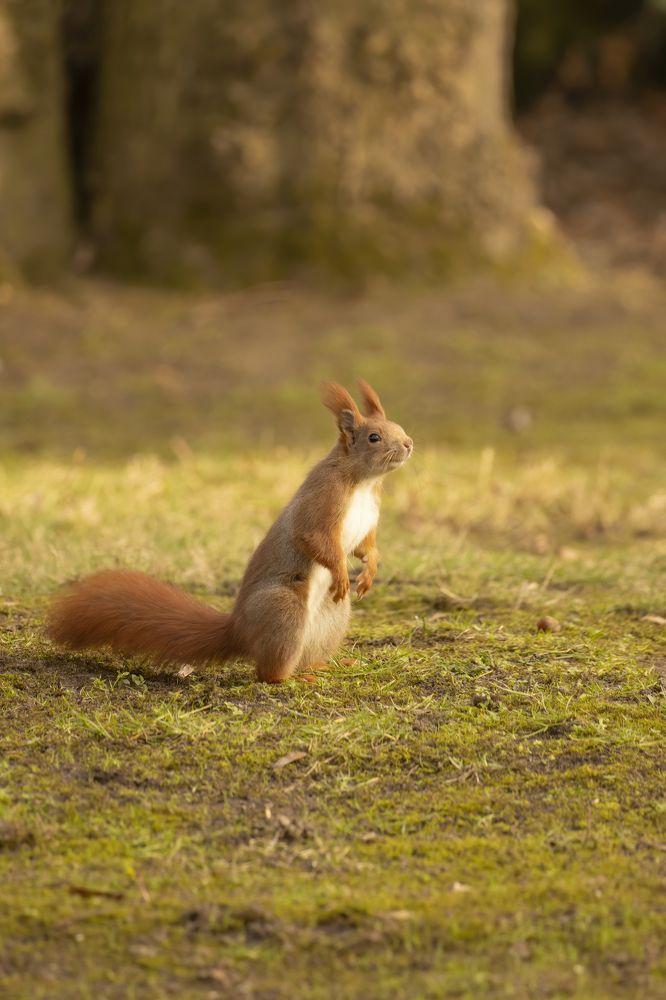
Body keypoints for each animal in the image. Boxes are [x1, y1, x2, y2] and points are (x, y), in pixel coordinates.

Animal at [48, 380, 413, 683]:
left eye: (398, 426)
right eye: (374, 437)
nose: (409, 444)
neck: (363, 483)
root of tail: (240, 631)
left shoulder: (367, 519)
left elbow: (365, 546)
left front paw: (369, 570)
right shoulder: (321, 501)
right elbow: (313, 537)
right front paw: (341, 572)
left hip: (333, 616)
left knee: (306, 654)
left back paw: (322, 666)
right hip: (283, 608)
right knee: (267, 672)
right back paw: (292, 678)